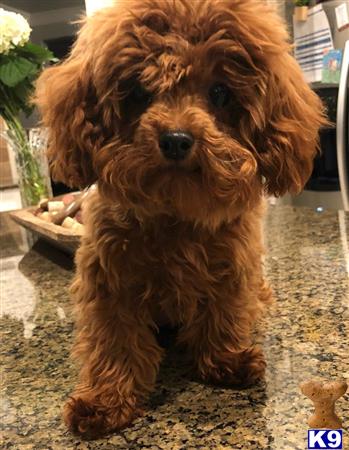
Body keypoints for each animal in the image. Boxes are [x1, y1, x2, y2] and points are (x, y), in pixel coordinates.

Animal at [34, 0, 324, 438]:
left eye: (219, 92)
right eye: (139, 91)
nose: (175, 139)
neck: (175, 213)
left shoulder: (231, 268)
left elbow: (224, 313)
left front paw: (226, 360)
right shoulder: (109, 281)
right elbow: (113, 340)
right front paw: (105, 400)